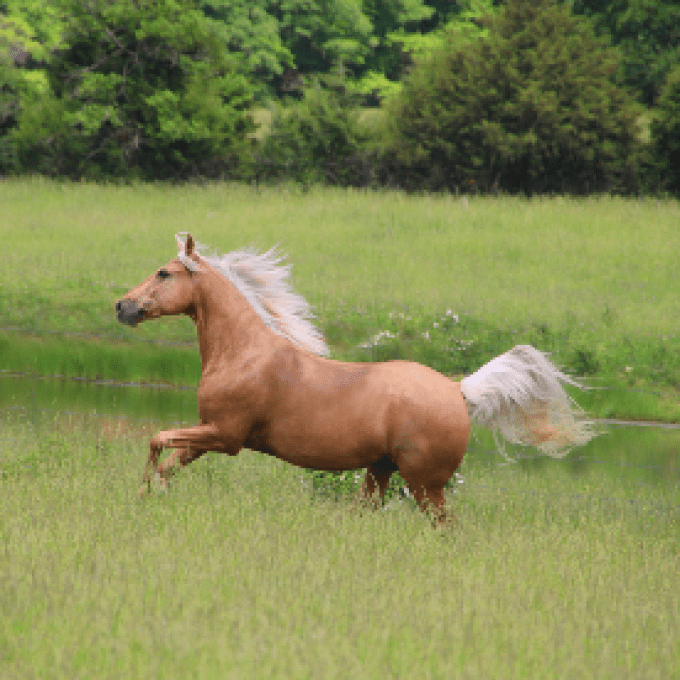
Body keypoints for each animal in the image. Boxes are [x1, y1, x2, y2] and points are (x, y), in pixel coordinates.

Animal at [117, 234, 596, 520]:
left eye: (164, 272)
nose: (122, 306)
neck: (243, 352)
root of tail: (458, 391)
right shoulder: (207, 436)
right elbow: (168, 463)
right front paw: (152, 493)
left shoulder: (224, 434)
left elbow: (156, 440)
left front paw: (141, 493)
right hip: (380, 471)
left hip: (425, 484)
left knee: (445, 527)